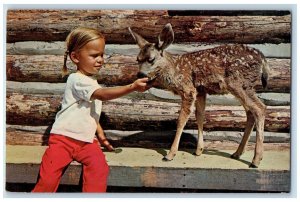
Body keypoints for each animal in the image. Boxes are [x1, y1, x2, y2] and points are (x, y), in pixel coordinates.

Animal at [128, 23, 270, 169]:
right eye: (137, 59)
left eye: (151, 59)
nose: (139, 74)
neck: (175, 70)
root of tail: (263, 59)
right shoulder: (201, 91)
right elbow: (200, 116)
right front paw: (199, 150)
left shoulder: (188, 89)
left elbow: (181, 119)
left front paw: (170, 155)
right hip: (245, 87)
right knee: (250, 112)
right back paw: (237, 153)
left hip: (239, 83)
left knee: (260, 108)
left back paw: (256, 160)